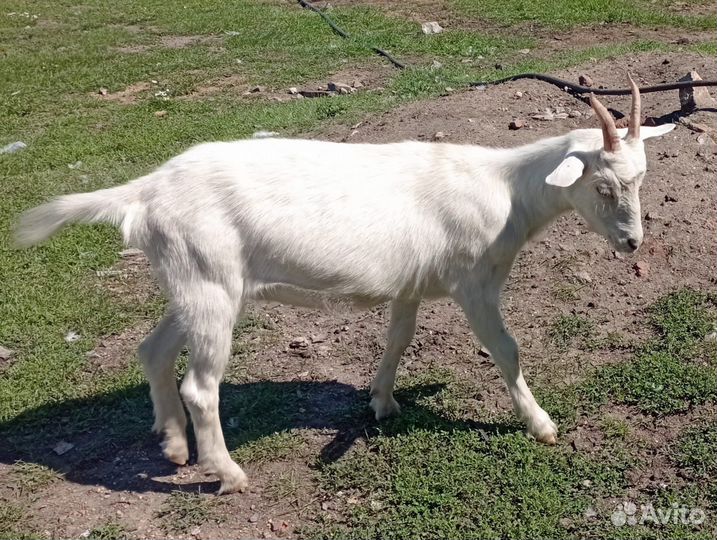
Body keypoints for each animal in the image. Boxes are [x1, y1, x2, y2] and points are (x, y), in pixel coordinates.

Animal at [15, 77, 674, 494]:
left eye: (641, 179)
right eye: (603, 187)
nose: (632, 244)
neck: (506, 189)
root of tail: (146, 191)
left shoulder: (411, 283)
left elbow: (398, 339)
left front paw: (381, 402)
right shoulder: (475, 282)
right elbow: (506, 350)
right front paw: (540, 425)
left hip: (196, 282)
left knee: (152, 350)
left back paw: (175, 445)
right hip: (209, 286)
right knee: (200, 387)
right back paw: (227, 474)